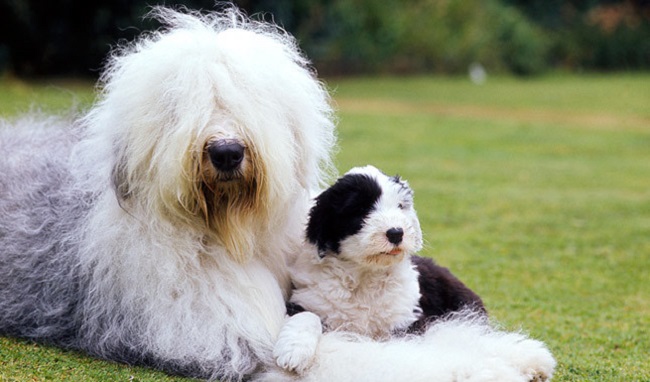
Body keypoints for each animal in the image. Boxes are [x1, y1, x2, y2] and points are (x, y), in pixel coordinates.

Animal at [286, 166, 484, 338]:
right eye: (360, 209)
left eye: (400, 206)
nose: (396, 233)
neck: (366, 275)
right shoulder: (312, 303)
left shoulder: (407, 318)